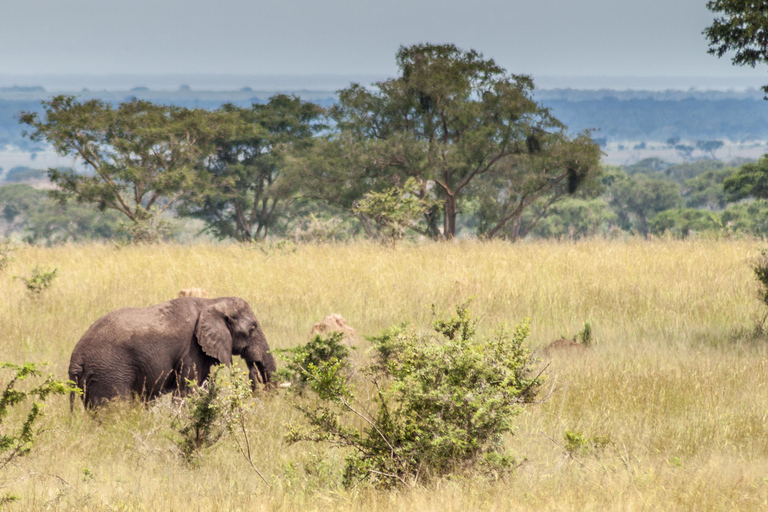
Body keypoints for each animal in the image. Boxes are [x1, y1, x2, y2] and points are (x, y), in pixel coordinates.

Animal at [67, 296, 274, 408]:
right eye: (252, 329)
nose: (254, 371)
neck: (212, 302)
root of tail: (76, 358)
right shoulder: (191, 350)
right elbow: (187, 391)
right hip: (108, 371)